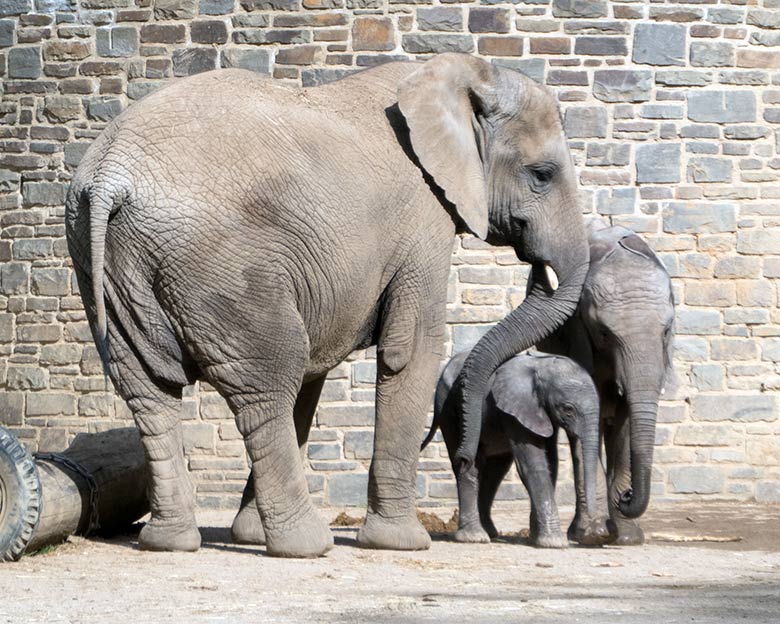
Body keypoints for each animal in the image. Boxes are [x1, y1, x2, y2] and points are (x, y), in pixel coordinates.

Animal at [67, 53, 588, 560]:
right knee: (268, 378)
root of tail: (111, 175)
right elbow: (409, 351)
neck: (464, 73)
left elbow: (315, 372)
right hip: (220, 263)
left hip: (108, 263)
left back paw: (171, 543)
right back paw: (307, 546)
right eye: (542, 175)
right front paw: (401, 543)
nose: (537, 265)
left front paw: (250, 535)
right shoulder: (422, 217)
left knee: (150, 391)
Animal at [424, 354, 612, 548]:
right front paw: (554, 542)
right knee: (470, 465)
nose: (597, 532)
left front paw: (536, 538)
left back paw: (489, 532)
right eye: (568, 409)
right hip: (449, 409)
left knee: (495, 471)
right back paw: (475, 537)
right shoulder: (515, 411)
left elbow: (551, 462)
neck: (541, 368)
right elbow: (533, 465)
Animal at [540, 227, 672, 544]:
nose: (627, 496)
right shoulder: (575, 335)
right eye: (604, 333)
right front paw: (595, 533)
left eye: (666, 332)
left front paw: (626, 537)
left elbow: (625, 423)